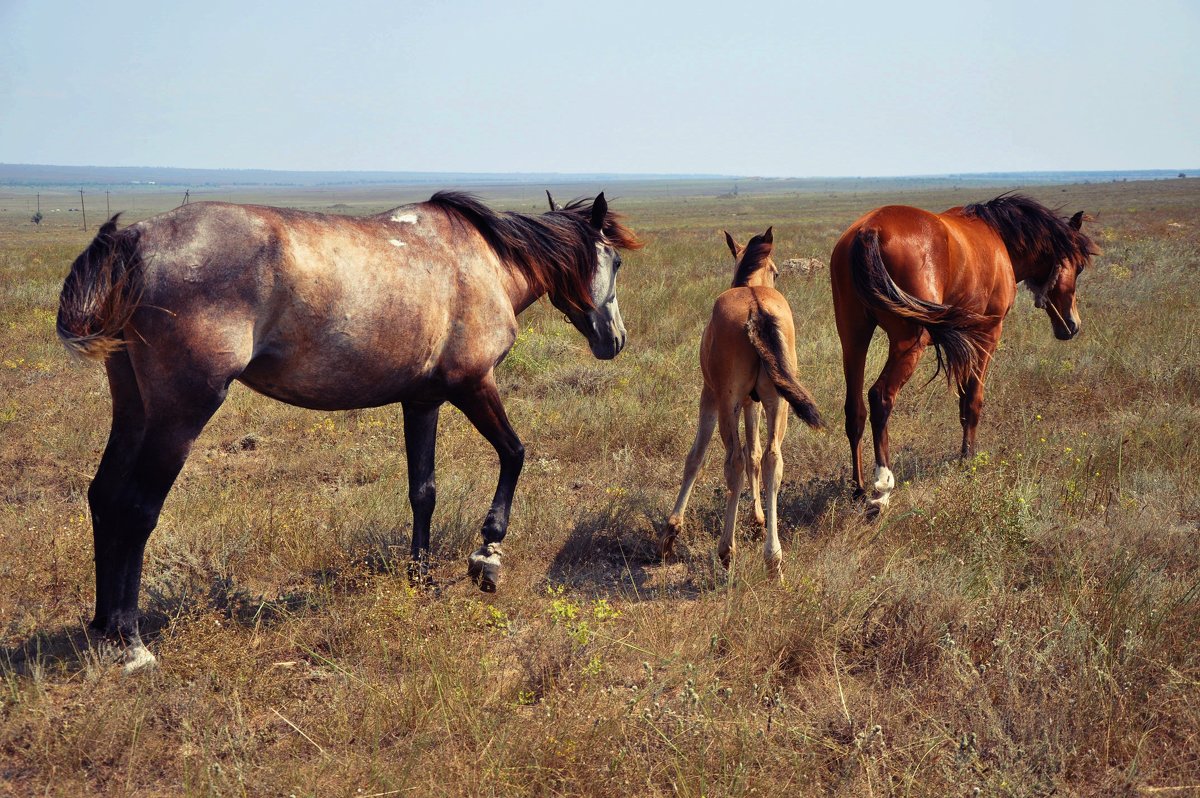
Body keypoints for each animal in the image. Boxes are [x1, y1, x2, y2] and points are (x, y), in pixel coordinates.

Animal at [57, 188, 643, 667]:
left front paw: (421, 576)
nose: (614, 339)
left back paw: (102, 627)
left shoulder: (423, 400)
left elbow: (423, 490)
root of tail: (134, 238)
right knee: (136, 509)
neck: (485, 262)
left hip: (133, 407)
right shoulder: (474, 383)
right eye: (613, 260)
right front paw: (488, 553)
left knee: (104, 496)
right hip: (180, 414)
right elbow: (514, 453)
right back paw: (130, 642)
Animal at [662, 226, 820, 576]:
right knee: (773, 458)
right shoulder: (754, 403)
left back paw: (726, 550)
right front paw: (759, 518)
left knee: (732, 460)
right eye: (776, 271)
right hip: (778, 403)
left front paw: (672, 528)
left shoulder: (710, 397)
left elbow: (696, 457)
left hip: (727, 403)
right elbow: (756, 455)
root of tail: (756, 308)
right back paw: (773, 557)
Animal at [835, 189, 1099, 506]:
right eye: (1079, 268)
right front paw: (969, 460)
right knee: (881, 397)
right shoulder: (987, 335)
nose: (1073, 325)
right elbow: (973, 400)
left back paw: (859, 488)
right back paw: (881, 489)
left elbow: (962, 402)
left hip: (853, 337)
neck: (999, 239)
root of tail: (869, 230)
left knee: (855, 410)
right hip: (908, 344)